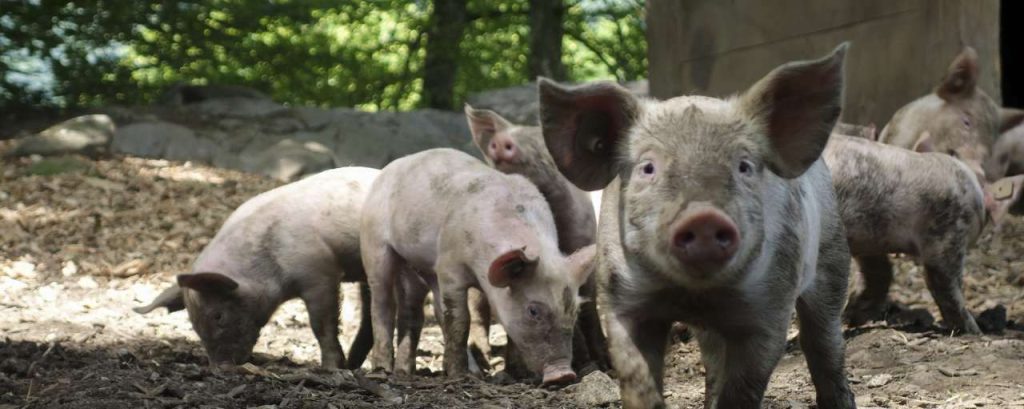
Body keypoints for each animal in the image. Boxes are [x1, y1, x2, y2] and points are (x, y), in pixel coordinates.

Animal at [134, 167, 378, 370]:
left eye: (218, 315)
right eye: (192, 322)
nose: (219, 367)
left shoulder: (320, 273)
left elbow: (321, 324)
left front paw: (330, 369)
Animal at [360, 148, 596, 385]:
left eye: (574, 309)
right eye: (533, 311)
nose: (564, 374)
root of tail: (394, 165)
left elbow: (505, 329)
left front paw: (515, 374)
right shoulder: (449, 265)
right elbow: (460, 320)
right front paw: (458, 375)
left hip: (419, 268)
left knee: (424, 310)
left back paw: (417, 372)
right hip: (374, 242)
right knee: (382, 302)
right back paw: (384, 370)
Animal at [464, 105, 609, 372]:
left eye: (541, 141)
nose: (501, 140)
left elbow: (588, 308)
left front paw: (601, 364)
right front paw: (515, 372)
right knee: (478, 312)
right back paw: (484, 360)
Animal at [538, 44, 855, 408]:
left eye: (744, 166)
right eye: (648, 167)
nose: (703, 216)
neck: (694, 295)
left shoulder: (771, 304)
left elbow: (745, 387)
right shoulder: (620, 299)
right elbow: (636, 377)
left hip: (833, 255)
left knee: (823, 339)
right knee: (714, 361)